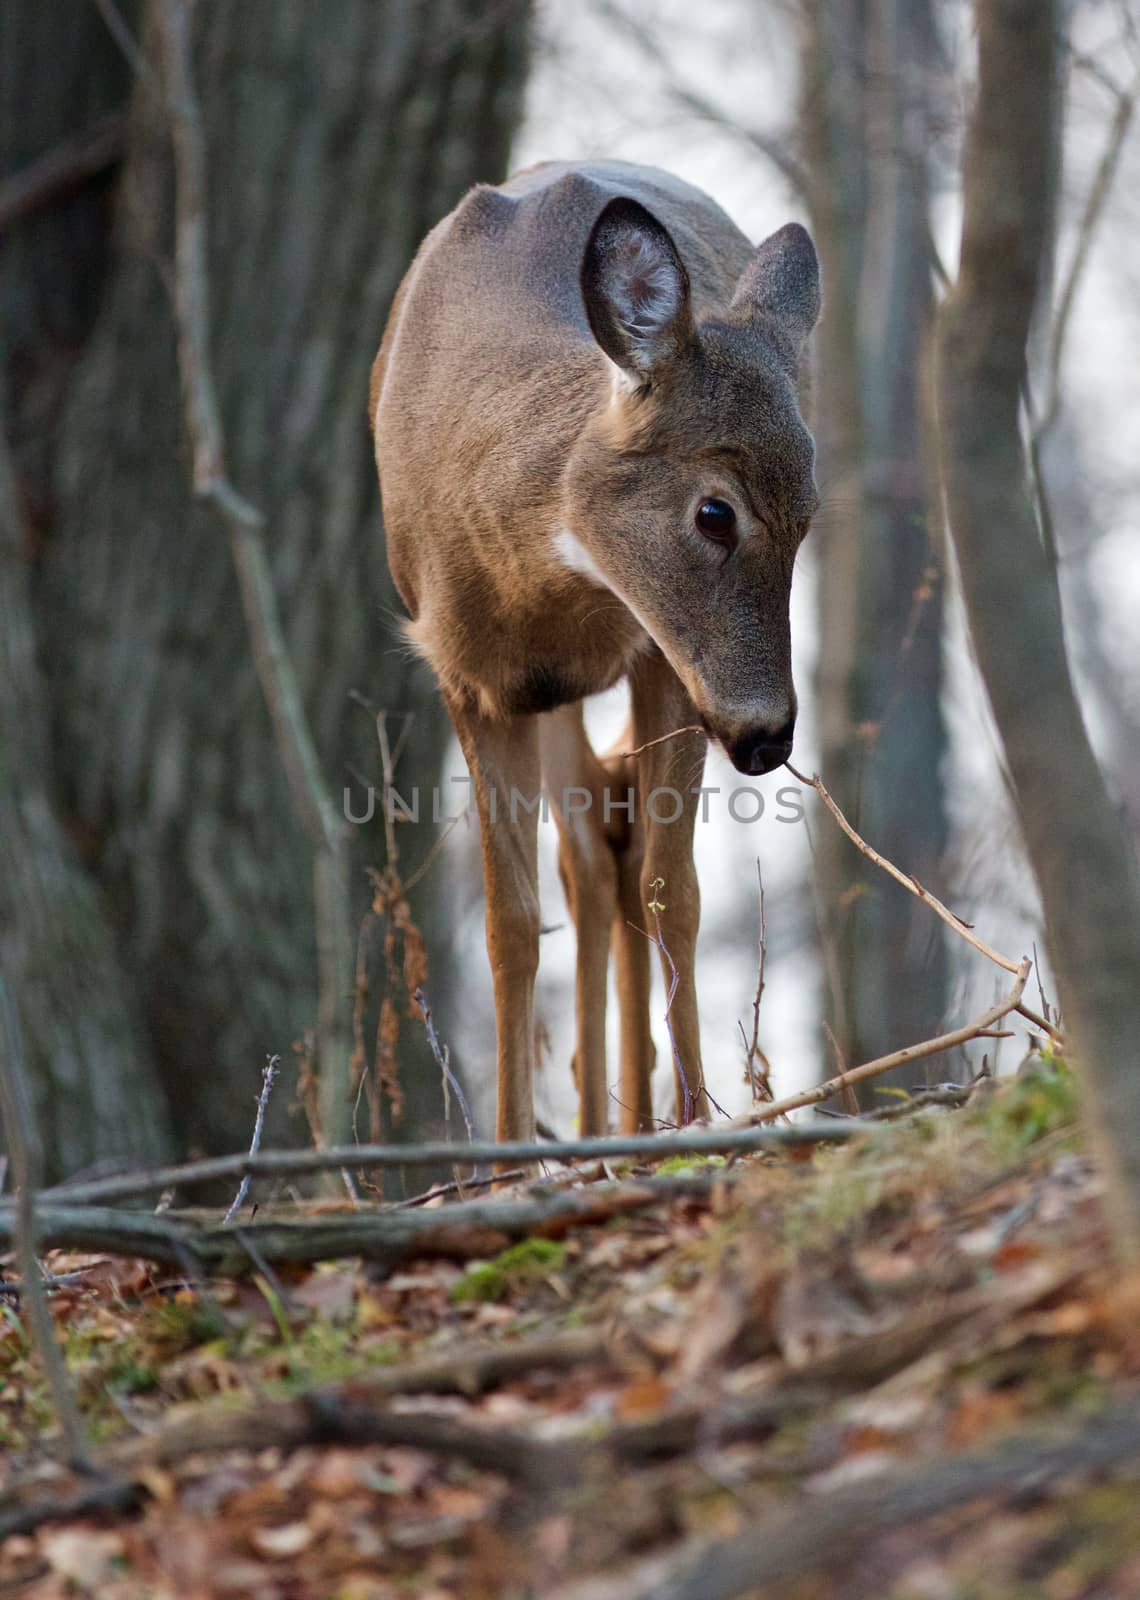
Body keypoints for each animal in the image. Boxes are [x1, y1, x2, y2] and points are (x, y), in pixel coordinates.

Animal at [374, 156, 819, 1145]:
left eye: (811, 516)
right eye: (715, 512)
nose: (767, 737)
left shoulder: (660, 658)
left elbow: (672, 888)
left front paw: (692, 1123)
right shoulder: (466, 670)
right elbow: (509, 925)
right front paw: (506, 1158)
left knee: (615, 856)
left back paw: (628, 1123)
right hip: (553, 697)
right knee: (584, 863)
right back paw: (587, 1126)